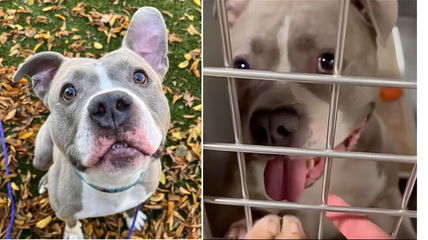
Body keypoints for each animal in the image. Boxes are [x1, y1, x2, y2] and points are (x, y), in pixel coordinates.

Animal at [12, 6, 169, 239]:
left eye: (140, 77)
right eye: (68, 92)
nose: (110, 103)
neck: (114, 183)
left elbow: (133, 207)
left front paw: (132, 216)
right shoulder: (65, 210)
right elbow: (70, 221)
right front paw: (73, 233)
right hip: (40, 155)